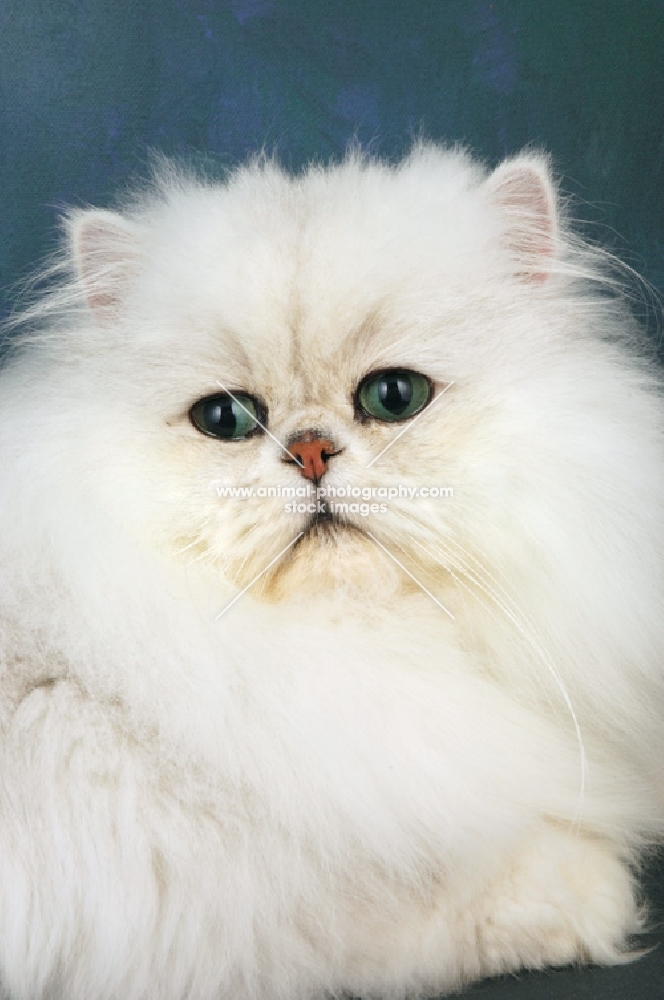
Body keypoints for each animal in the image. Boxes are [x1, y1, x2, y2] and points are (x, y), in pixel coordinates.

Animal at [0, 143, 660, 1000]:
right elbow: (434, 907)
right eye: (226, 419)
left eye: (394, 397)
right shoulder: (203, 898)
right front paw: (595, 895)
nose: (310, 450)